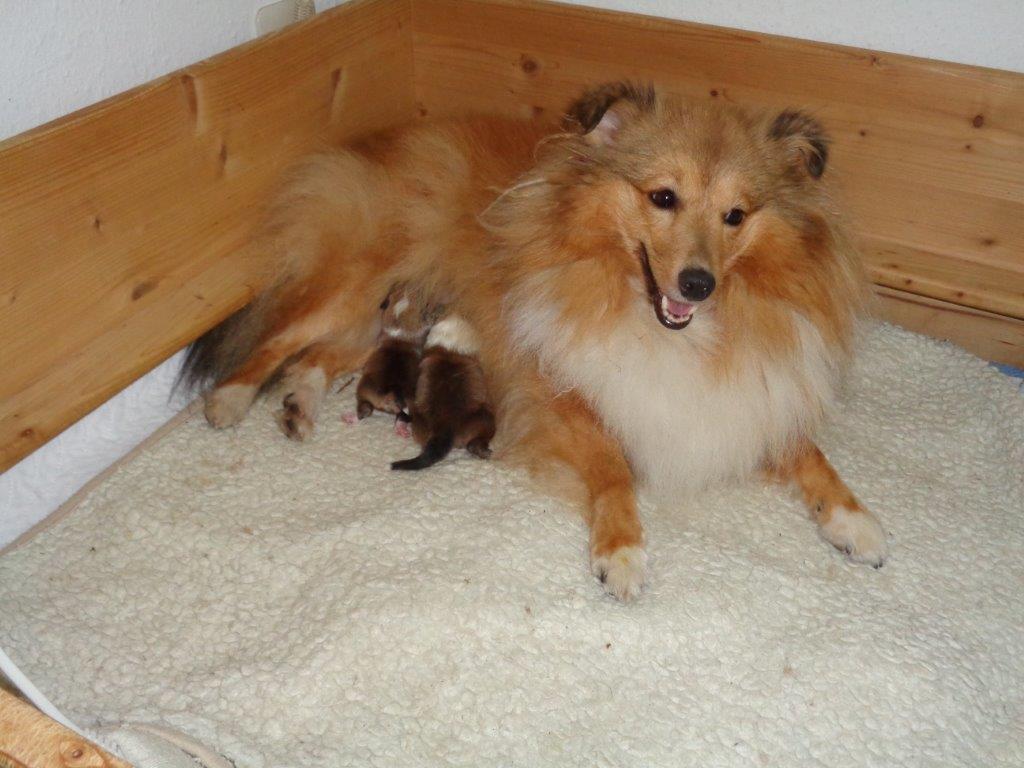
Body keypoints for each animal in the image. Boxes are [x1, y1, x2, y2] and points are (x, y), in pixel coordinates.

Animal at [183, 81, 887, 600]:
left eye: (736, 216)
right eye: (663, 197)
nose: (698, 283)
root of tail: (384, 140)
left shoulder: (750, 399)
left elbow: (809, 453)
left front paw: (854, 520)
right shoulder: (557, 392)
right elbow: (613, 468)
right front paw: (621, 552)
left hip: (390, 315)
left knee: (320, 357)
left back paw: (299, 407)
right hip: (358, 279)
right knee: (279, 337)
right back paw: (231, 400)